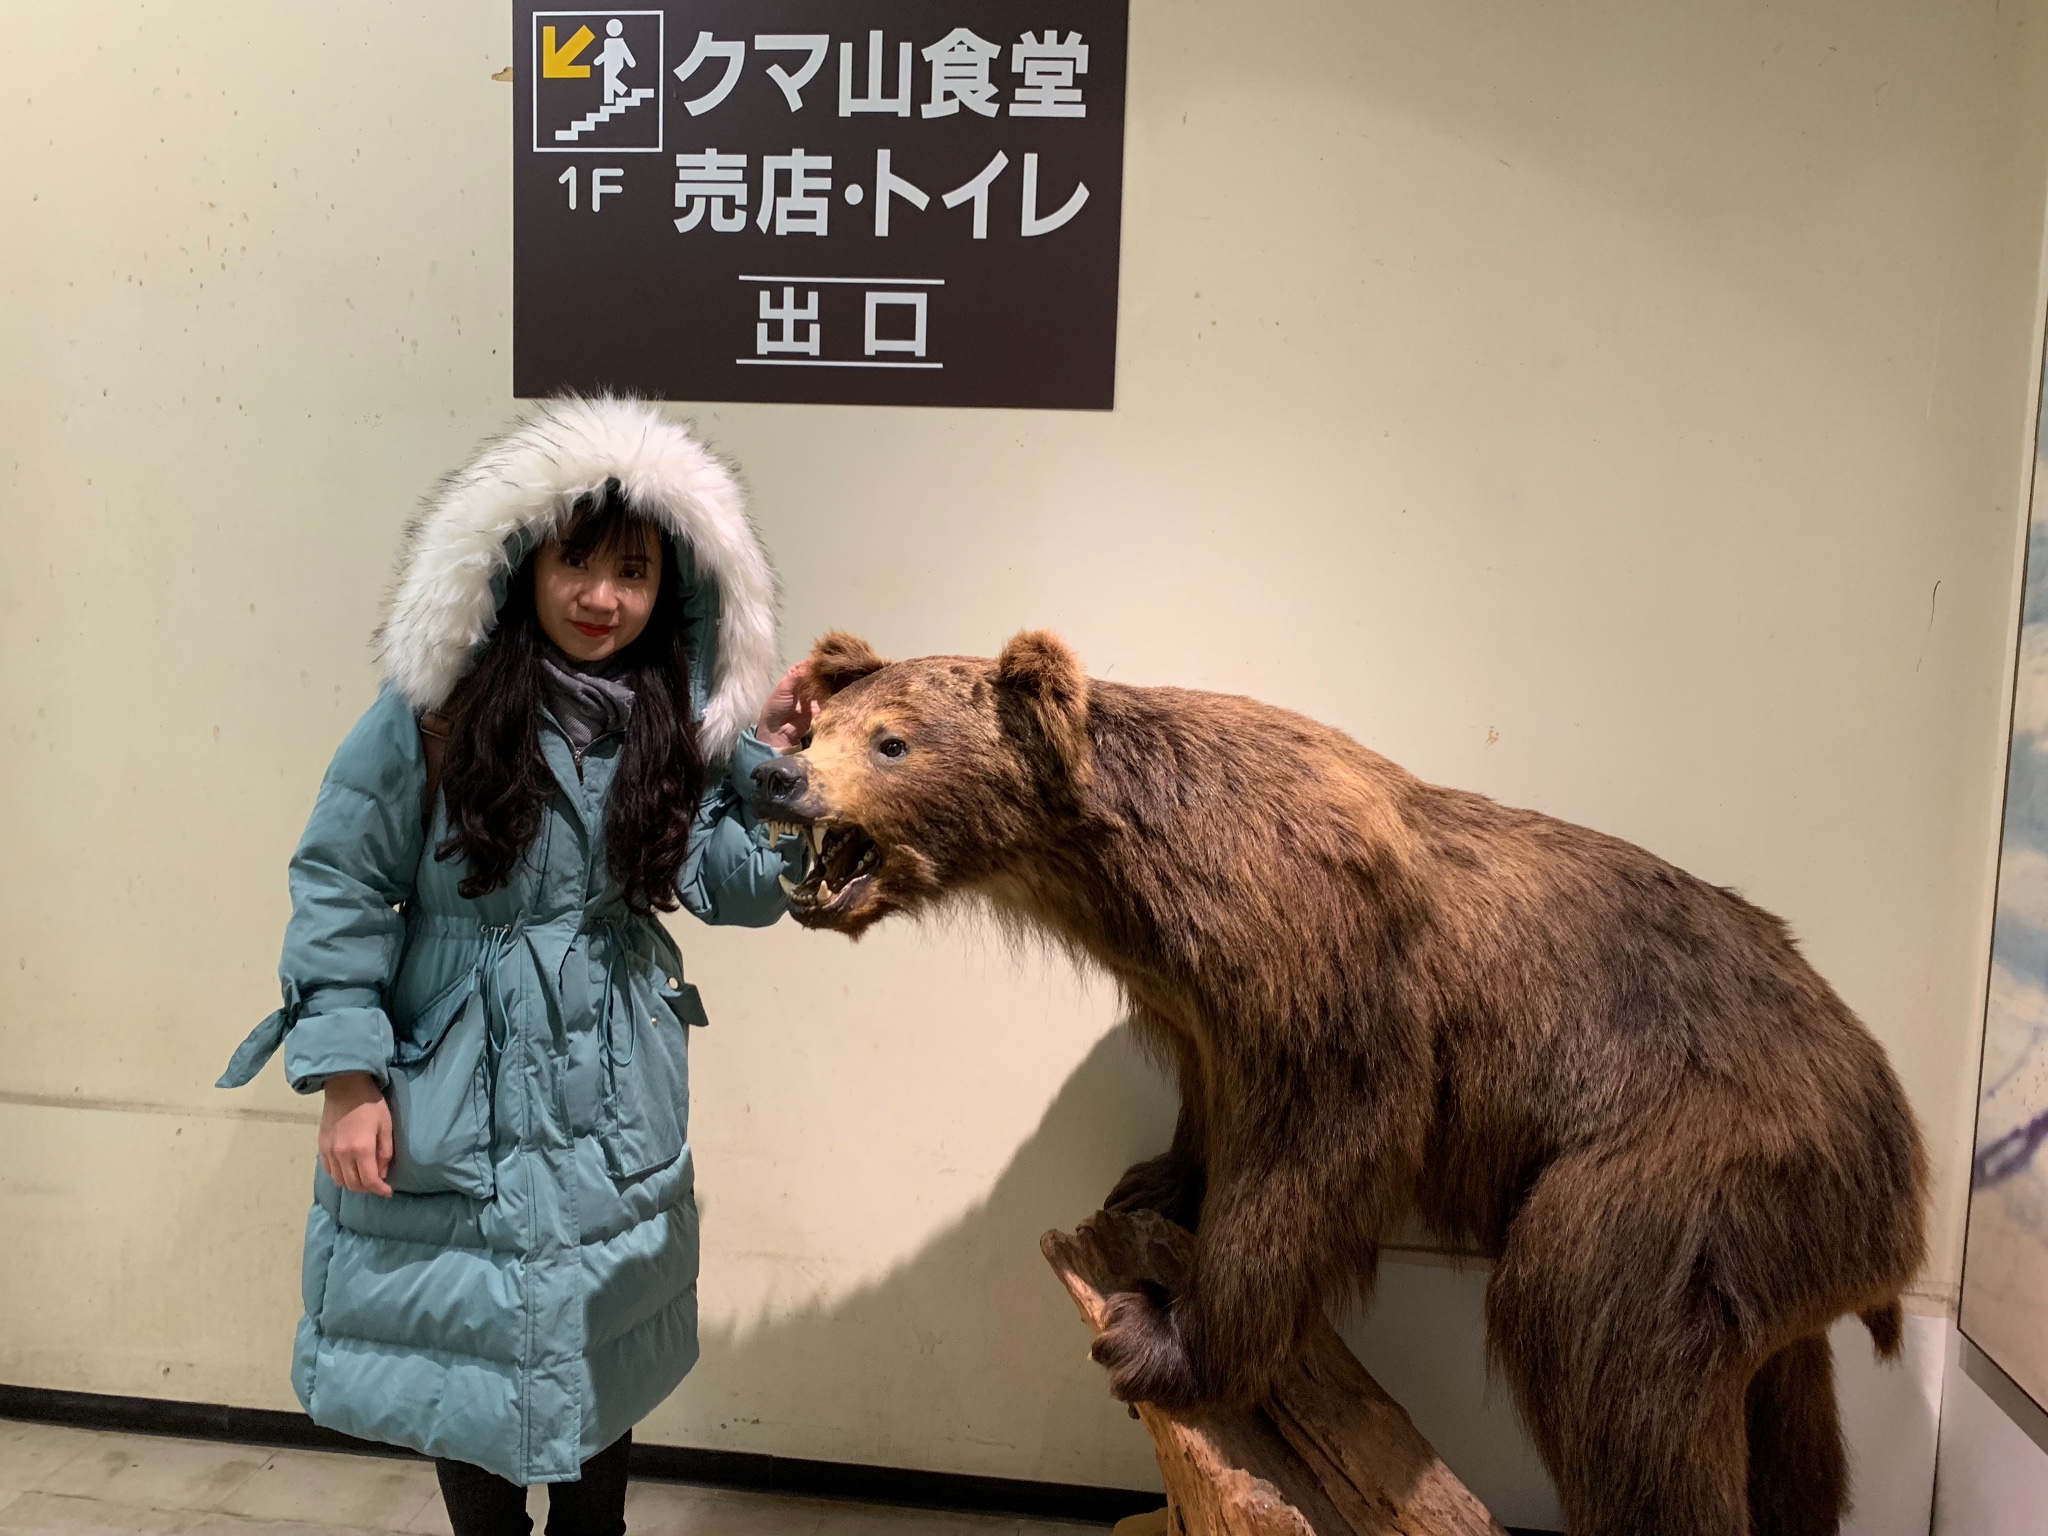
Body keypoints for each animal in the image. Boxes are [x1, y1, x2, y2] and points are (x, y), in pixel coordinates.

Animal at [753, 626, 1916, 1536]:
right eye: (821, 727)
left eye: (891, 739)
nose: (778, 772)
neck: (1119, 874)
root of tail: (1901, 1193)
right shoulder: (1189, 994)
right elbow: (1210, 1098)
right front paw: (1150, 1184)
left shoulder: (1318, 959)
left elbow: (1320, 1148)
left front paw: (1158, 1336)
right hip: (1778, 1246)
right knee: (1784, 1409)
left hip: (1692, 1159)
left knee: (1598, 1332)